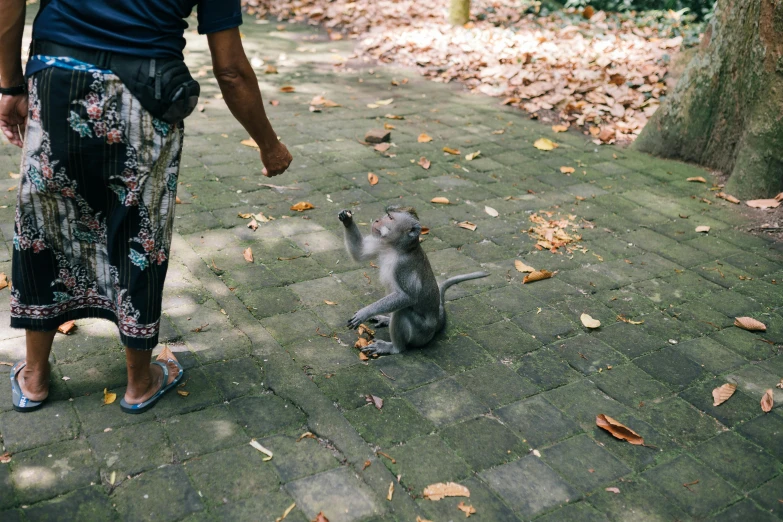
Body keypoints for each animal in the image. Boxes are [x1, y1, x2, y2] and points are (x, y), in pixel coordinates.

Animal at [338, 204, 486, 354]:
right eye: (387, 215)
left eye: (390, 217)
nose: (378, 220)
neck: (396, 248)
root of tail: (437, 322)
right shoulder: (382, 243)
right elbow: (360, 253)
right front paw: (347, 219)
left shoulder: (403, 266)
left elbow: (408, 297)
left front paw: (365, 312)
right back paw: (387, 319)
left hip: (420, 334)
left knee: (402, 310)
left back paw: (394, 347)